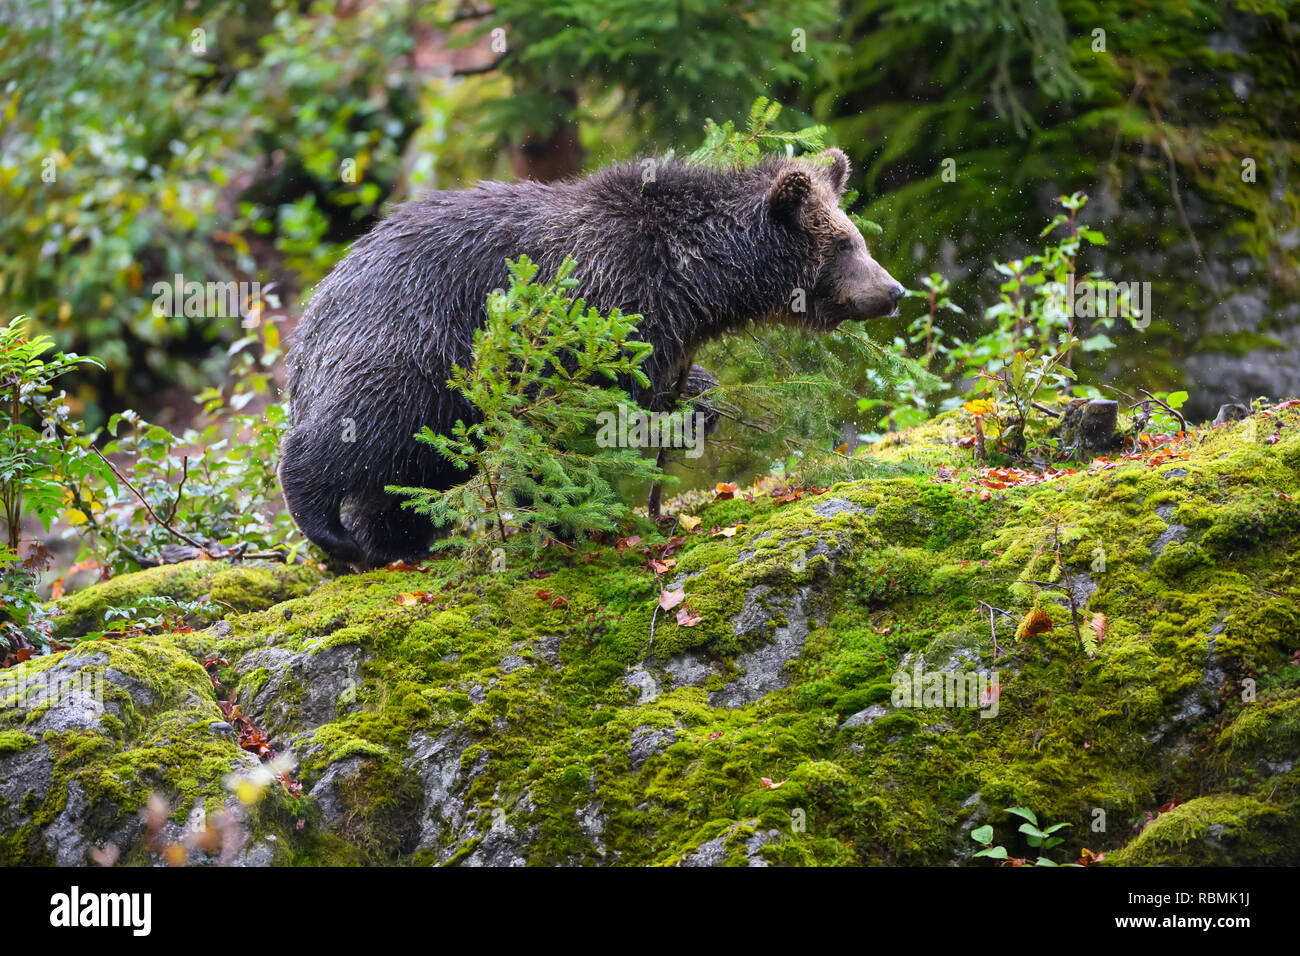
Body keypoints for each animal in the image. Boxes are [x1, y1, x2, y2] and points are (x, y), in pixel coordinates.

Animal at [279, 148, 904, 568]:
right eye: (844, 244)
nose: (895, 290)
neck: (692, 278)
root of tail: (324, 292)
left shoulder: (656, 332)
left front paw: (695, 408)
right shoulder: (593, 311)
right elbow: (565, 424)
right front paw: (564, 515)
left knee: (412, 471)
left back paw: (394, 541)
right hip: (414, 339)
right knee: (362, 424)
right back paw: (331, 528)